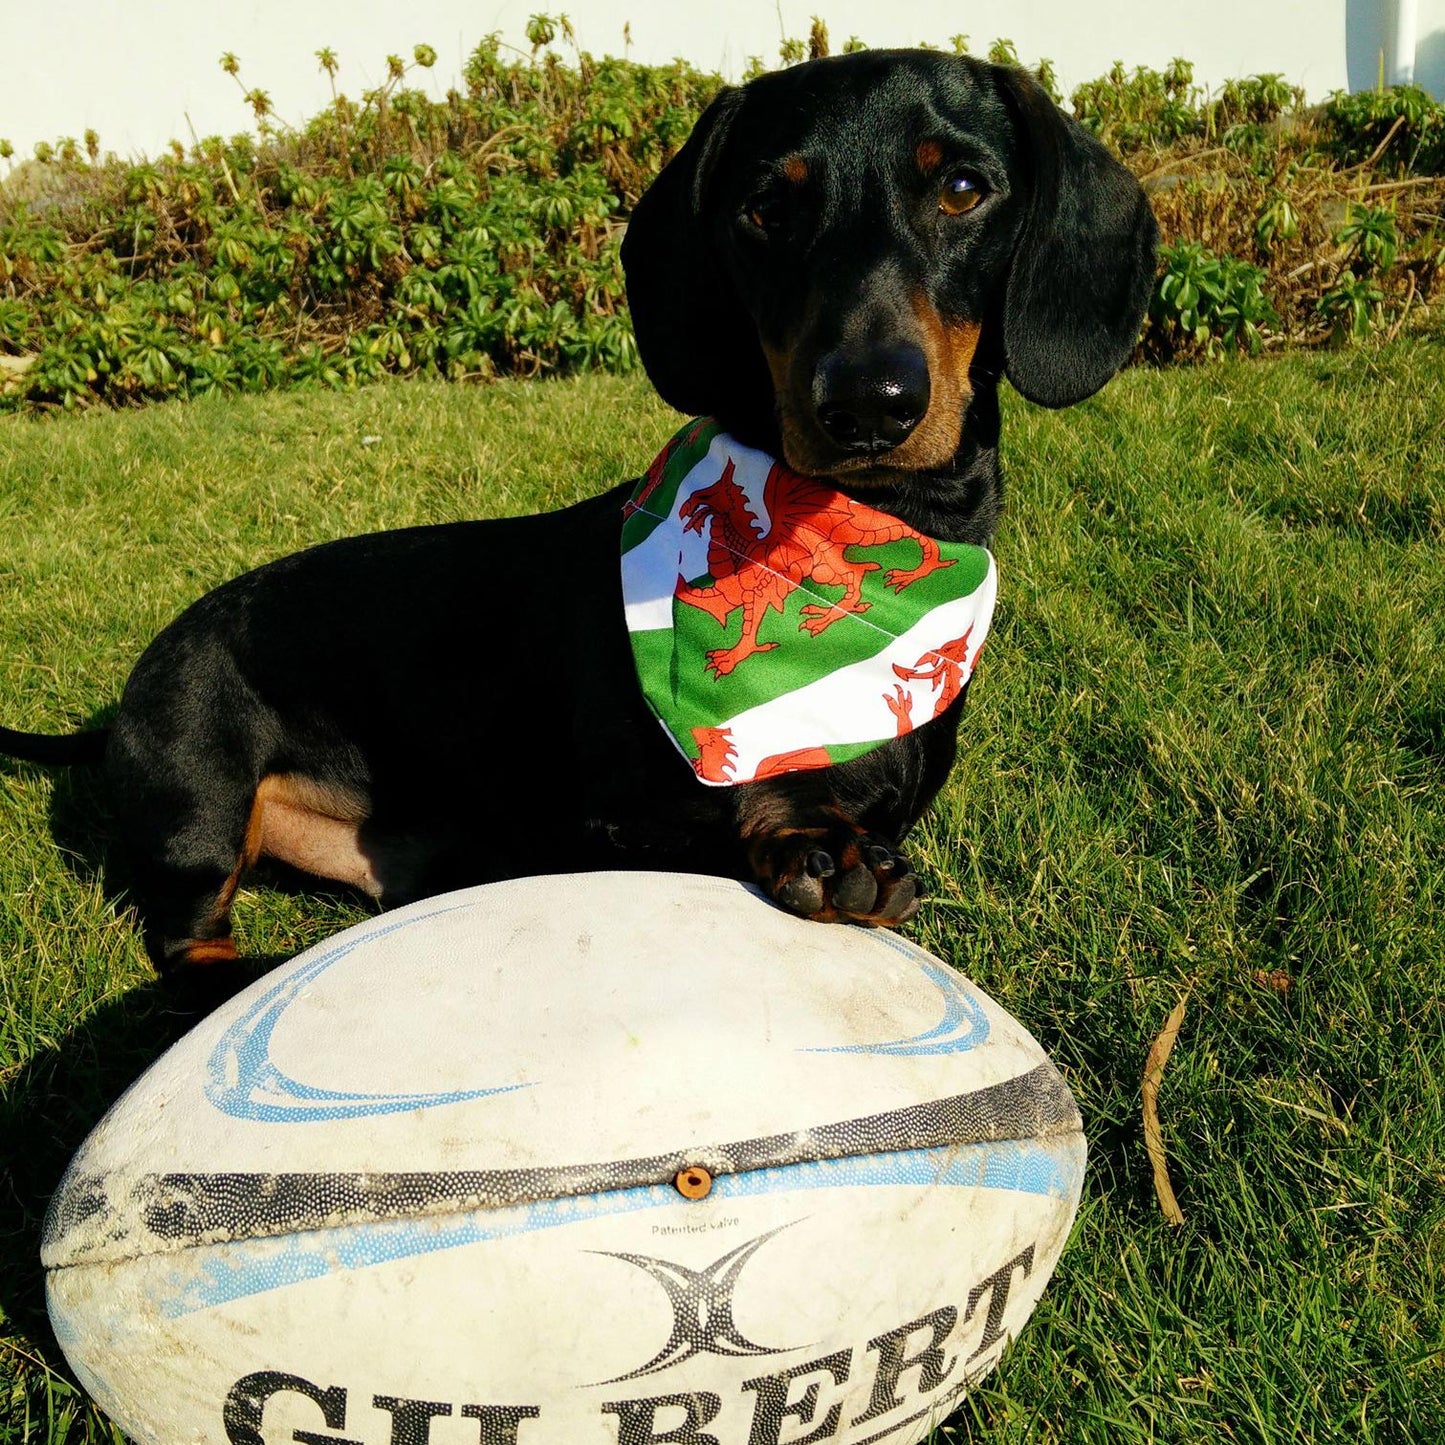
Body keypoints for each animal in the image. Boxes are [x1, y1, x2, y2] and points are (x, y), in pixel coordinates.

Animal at [0, 53, 1156, 982]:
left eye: (962, 188)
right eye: (764, 210)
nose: (866, 402)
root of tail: (124, 699)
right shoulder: (594, 829)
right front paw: (812, 845)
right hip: (198, 806)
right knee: (186, 944)